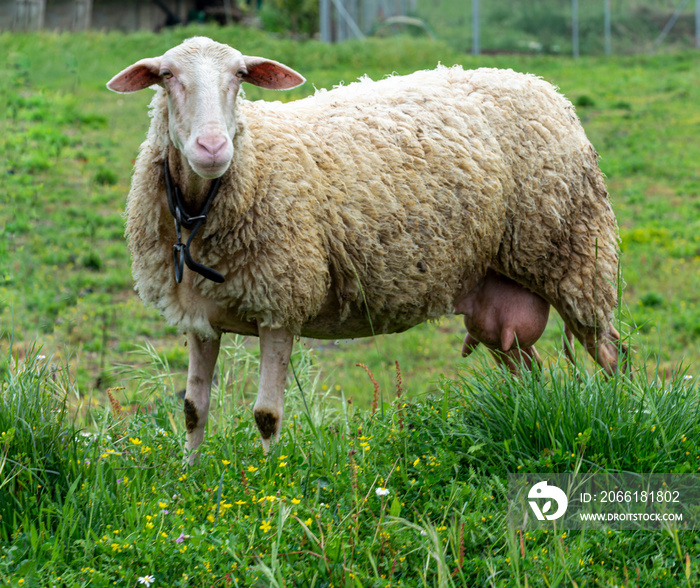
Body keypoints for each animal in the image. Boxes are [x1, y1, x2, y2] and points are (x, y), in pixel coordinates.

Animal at [106, 36, 628, 462]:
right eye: (166, 76)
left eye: (240, 75)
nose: (212, 147)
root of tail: (541, 86)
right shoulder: (201, 316)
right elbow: (194, 408)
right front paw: (189, 477)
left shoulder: (282, 303)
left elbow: (267, 415)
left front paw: (269, 486)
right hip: (499, 297)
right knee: (530, 373)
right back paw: (531, 418)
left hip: (576, 253)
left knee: (610, 351)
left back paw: (625, 413)